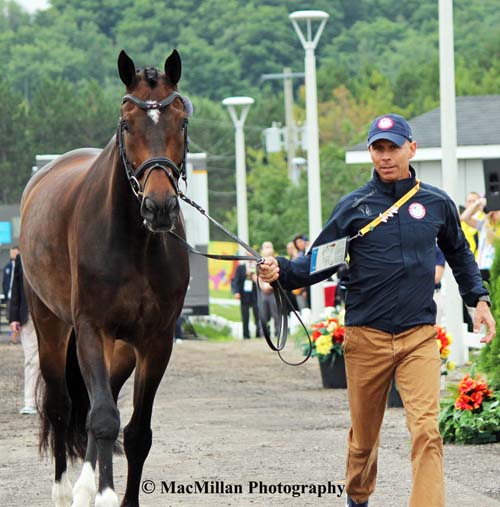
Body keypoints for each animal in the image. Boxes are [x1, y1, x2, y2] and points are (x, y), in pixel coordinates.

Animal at [19, 50, 189, 507]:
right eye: (127, 123)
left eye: (182, 121)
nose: (160, 207)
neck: (135, 244)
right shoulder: (92, 330)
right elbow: (101, 420)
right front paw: (103, 493)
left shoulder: (156, 341)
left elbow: (135, 432)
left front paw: (113, 494)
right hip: (51, 326)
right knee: (63, 407)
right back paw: (66, 489)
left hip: (122, 349)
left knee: (105, 400)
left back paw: (84, 485)